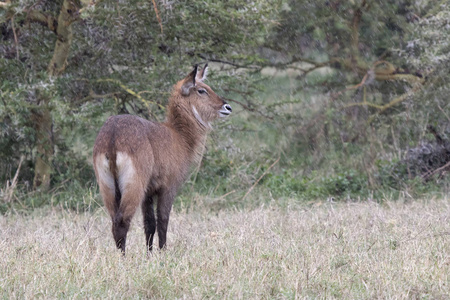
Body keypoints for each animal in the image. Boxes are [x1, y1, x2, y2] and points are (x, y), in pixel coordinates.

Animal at [92, 64, 232, 252]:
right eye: (202, 90)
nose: (227, 107)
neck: (179, 135)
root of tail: (113, 135)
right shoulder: (168, 187)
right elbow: (163, 220)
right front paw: (164, 252)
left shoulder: (149, 192)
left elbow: (149, 224)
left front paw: (149, 254)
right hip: (134, 185)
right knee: (122, 221)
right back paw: (124, 257)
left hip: (107, 186)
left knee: (114, 221)